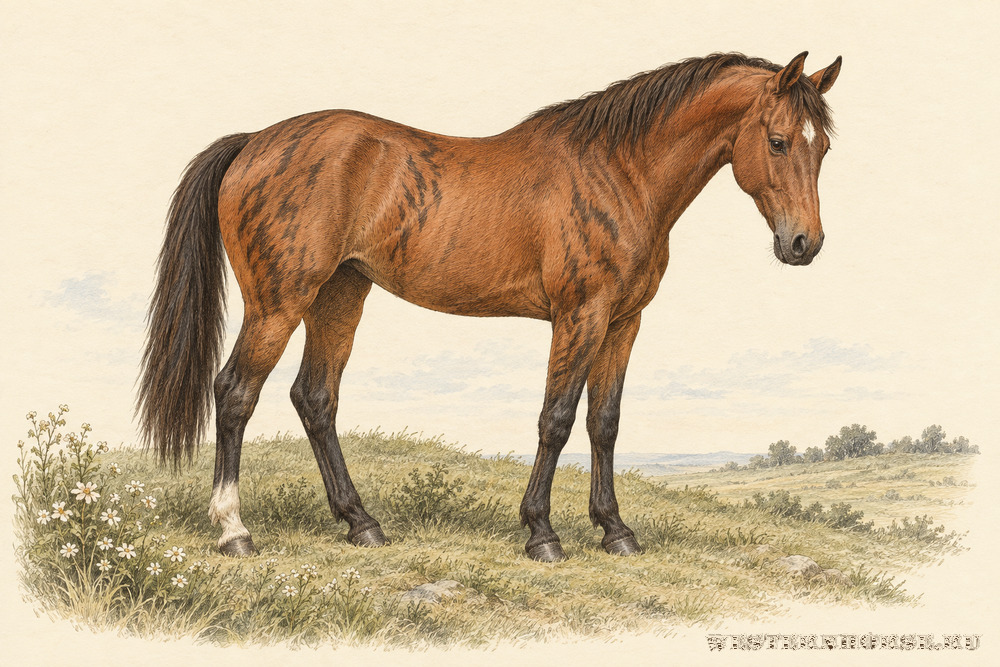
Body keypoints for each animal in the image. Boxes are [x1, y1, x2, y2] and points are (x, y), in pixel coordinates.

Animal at [137, 51, 841, 562]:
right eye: (779, 141)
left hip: (340, 296)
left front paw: (615, 531)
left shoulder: (623, 322)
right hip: (278, 304)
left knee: (315, 399)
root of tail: (255, 141)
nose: (803, 245)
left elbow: (604, 423)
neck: (619, 171)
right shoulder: (580, 316)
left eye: (824, 147)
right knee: (235, 393)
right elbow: (557, 420)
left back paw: (362, 523)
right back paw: (234, 531)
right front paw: (542, 535)